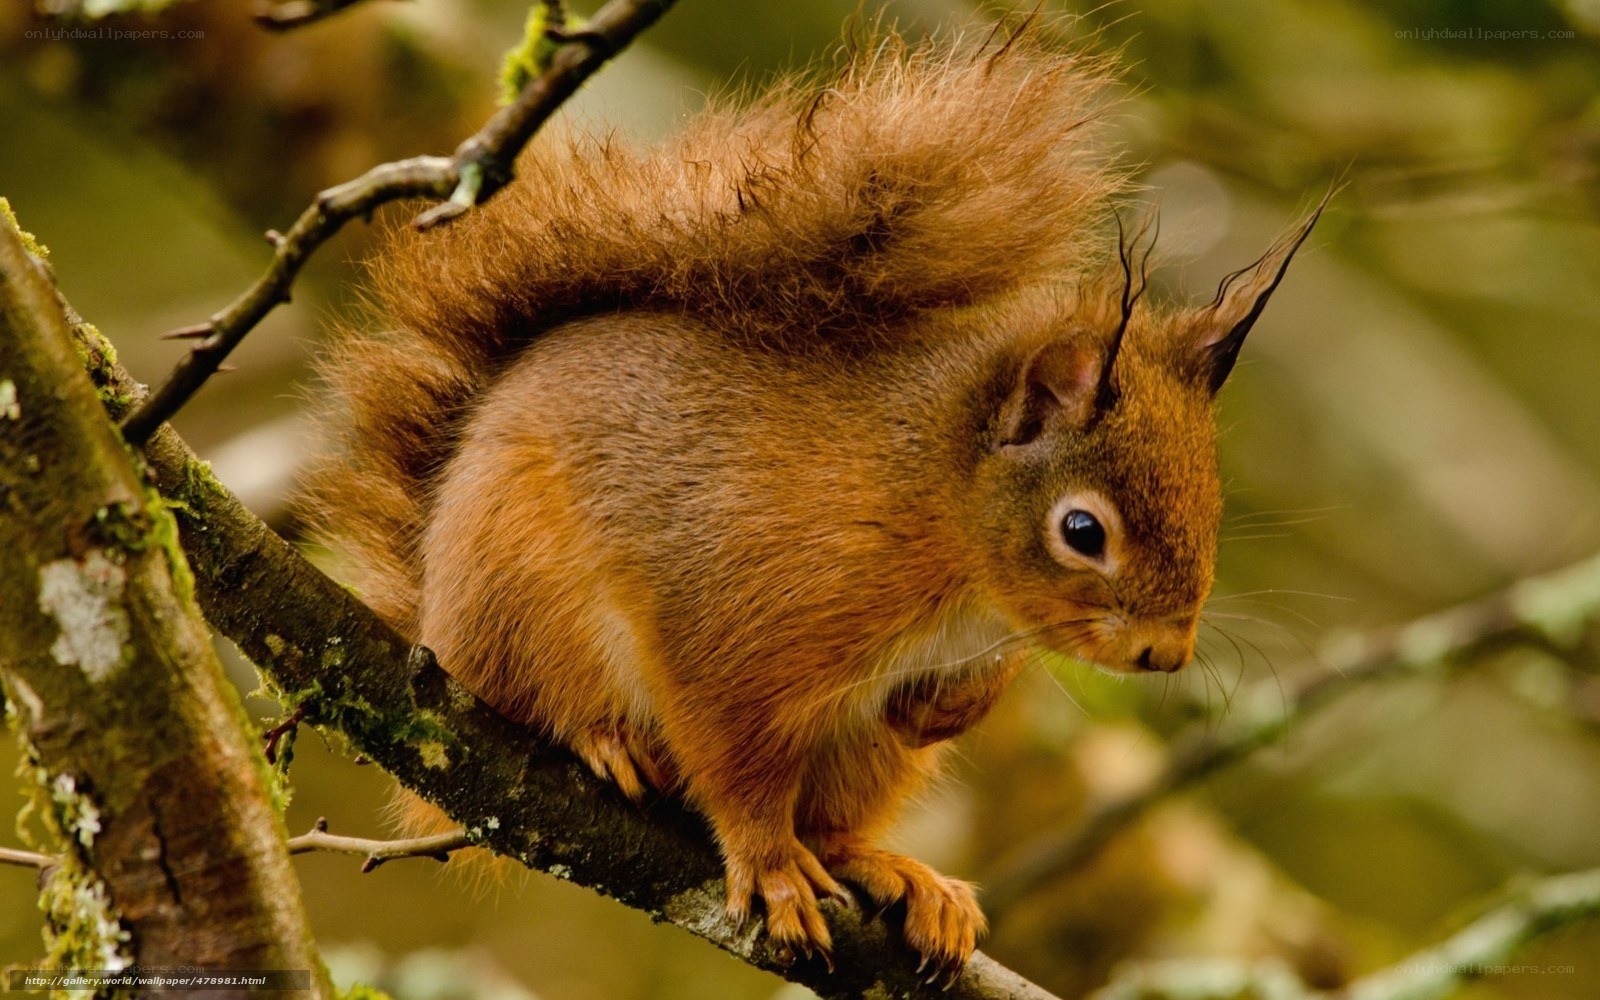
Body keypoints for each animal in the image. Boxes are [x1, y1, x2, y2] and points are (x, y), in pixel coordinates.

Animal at [304, 22, 1322, 981]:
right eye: (1082, 530)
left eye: (1212, 505)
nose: (1166, 653)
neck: (940, 517)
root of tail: (435, 611)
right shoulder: (743, 618)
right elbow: (735, 761)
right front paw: (767, 866)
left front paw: (952, 707)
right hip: (520, 599)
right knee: (540, 693)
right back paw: (604, 737)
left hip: (862, 758)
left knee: (837, 818)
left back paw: (896, 871)